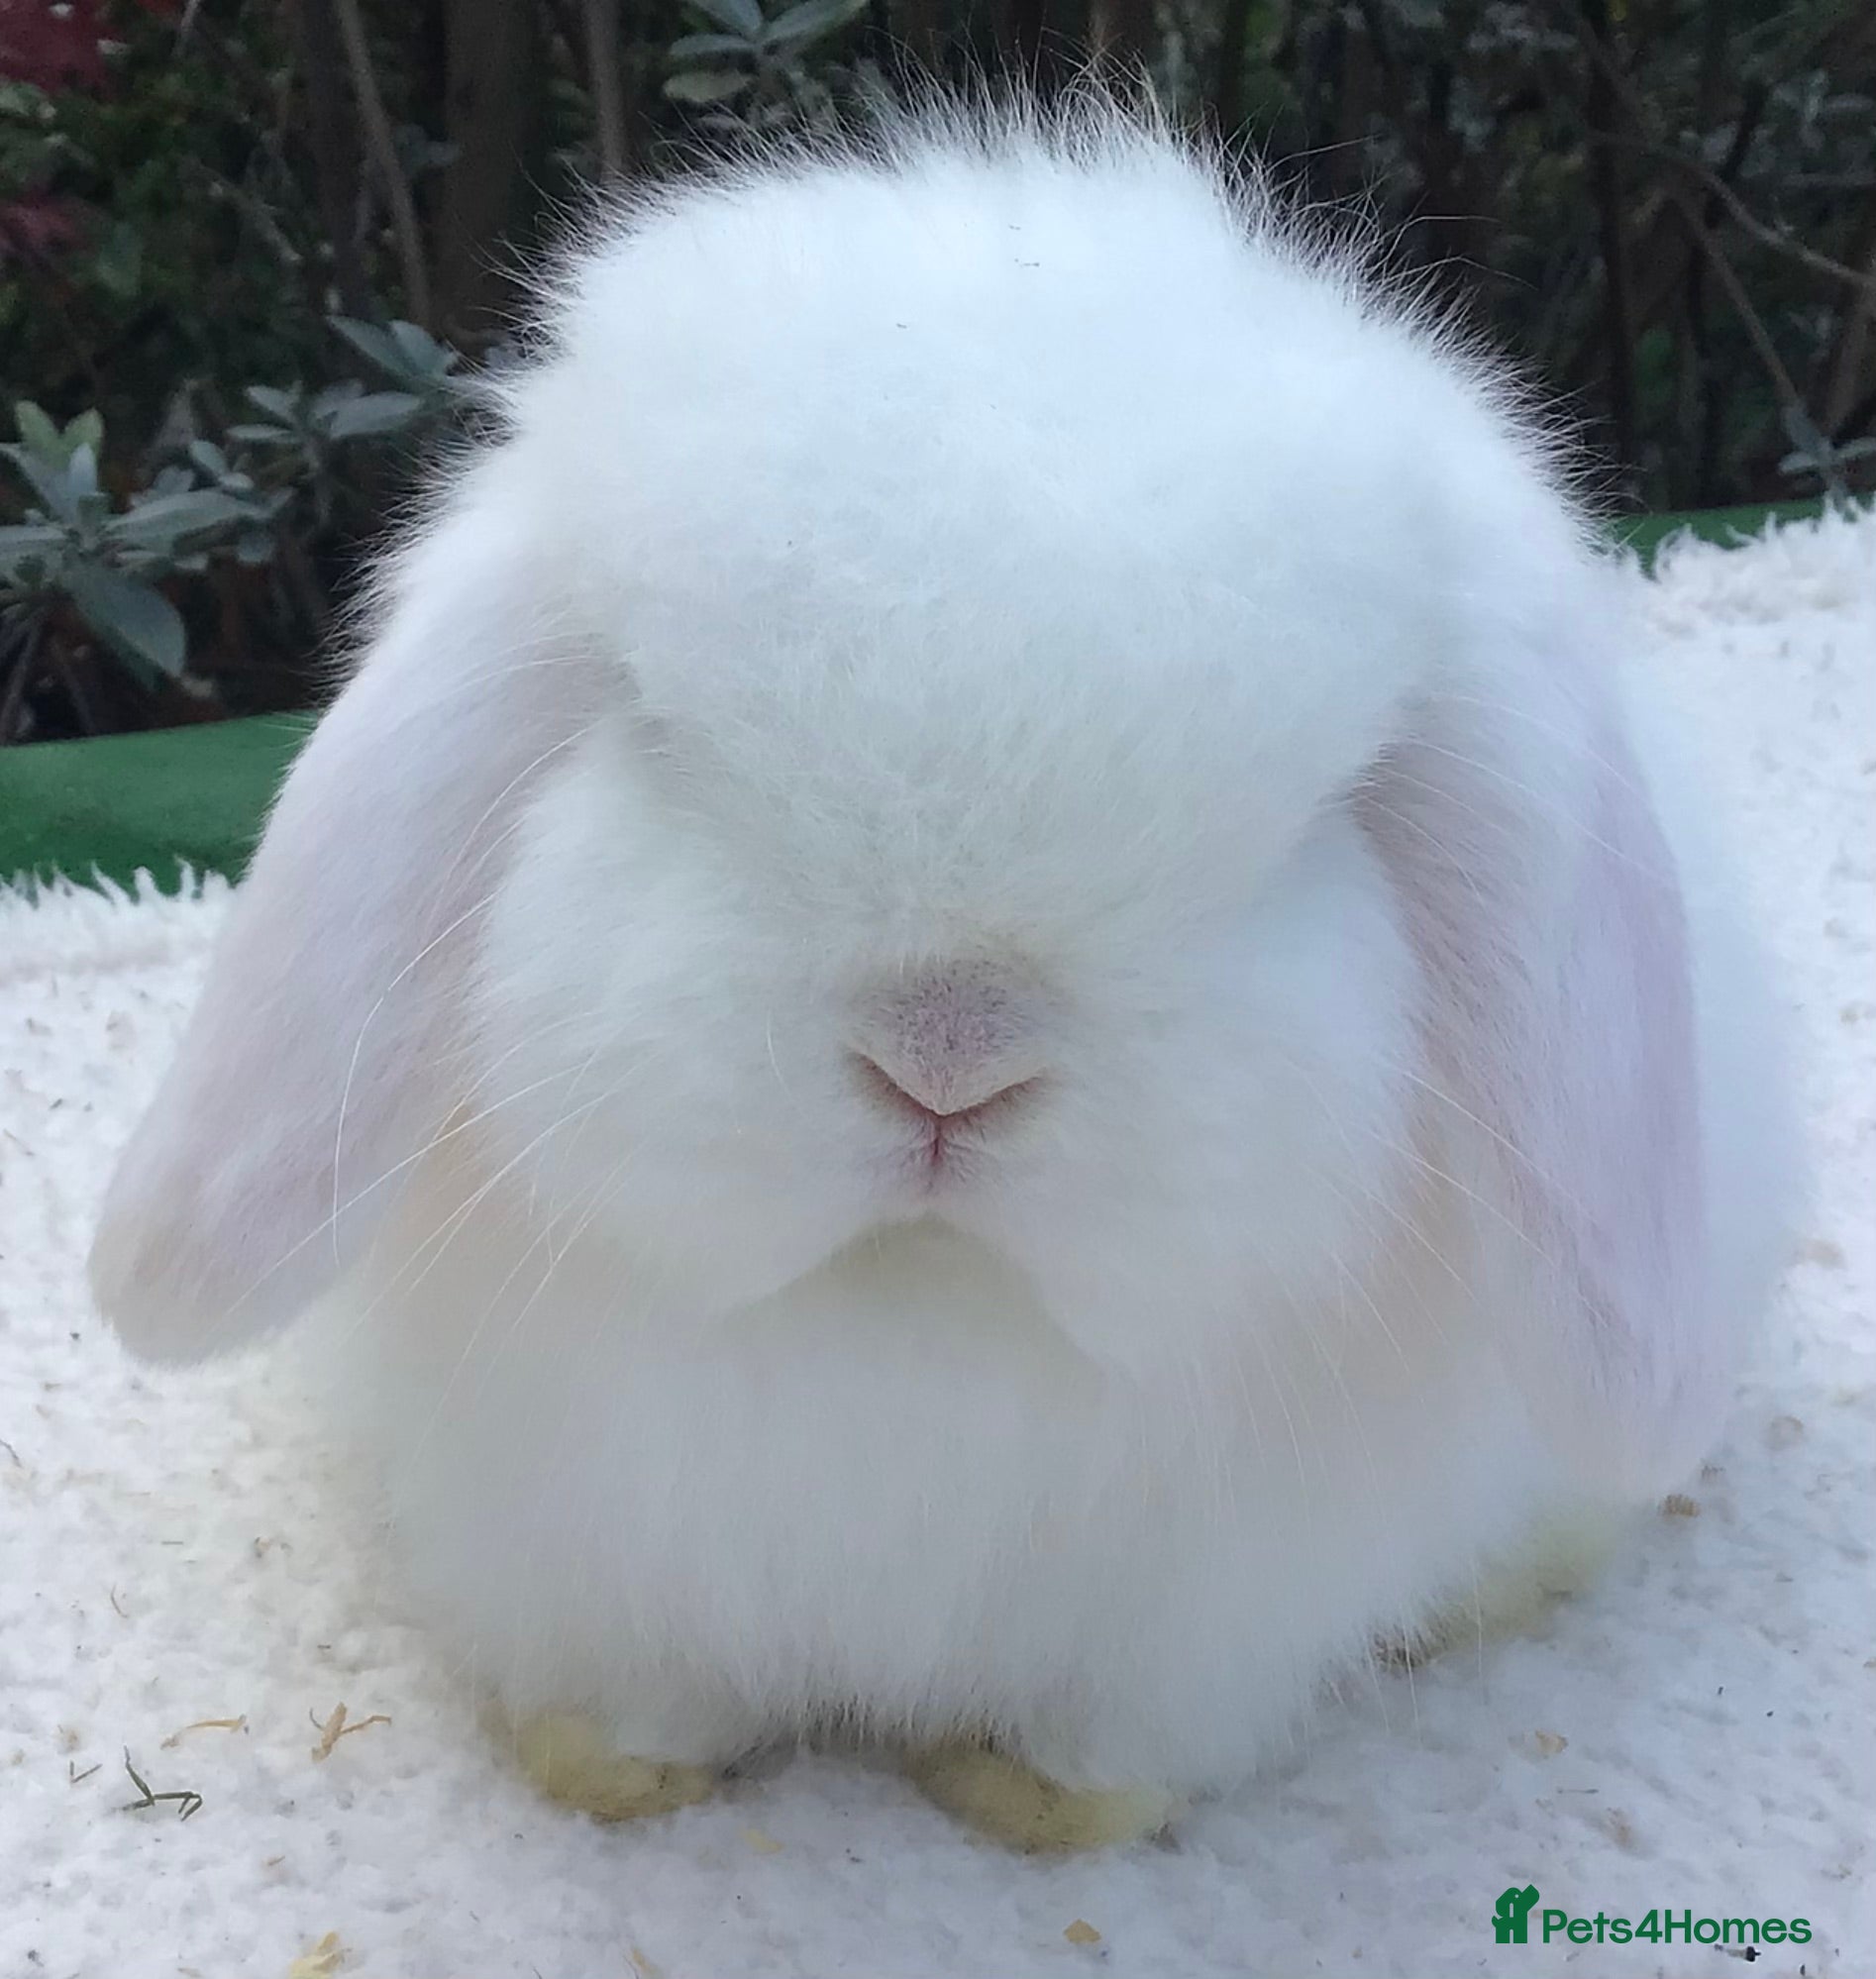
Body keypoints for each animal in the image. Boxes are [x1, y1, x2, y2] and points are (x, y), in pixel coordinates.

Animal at [89, 100, 1795, 1852]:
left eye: (1321, 817)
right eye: (653, 730)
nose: (947, 1060)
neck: (918, 1297)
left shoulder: (1196, 1622)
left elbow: (1114, 1739)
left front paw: (1029, 1803)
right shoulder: (586, 1538)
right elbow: (638, 1683)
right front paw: (611, 1768)